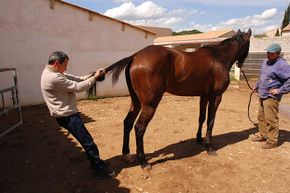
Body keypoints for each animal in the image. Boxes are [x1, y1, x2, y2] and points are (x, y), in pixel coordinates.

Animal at [102, 28, 251, 169]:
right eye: (248, 45)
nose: (240, 64)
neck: (219, 57)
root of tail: (135, 56)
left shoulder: (204, 96)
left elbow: (201, 118)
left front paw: (199, 139)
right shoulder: (216, 97)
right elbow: (210, 121)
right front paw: (209, 147)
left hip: (136, 102)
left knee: (127, 122)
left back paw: (126, 154)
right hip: (150, 104)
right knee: (139, 128)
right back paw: (143, 161)